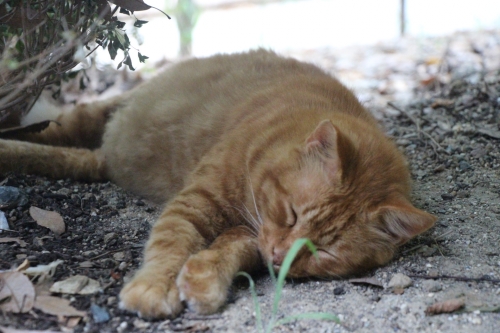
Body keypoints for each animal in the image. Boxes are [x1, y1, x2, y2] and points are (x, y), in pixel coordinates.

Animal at [0, 49, 436, 316]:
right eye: (292, 215)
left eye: (323, 251)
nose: (280, 257)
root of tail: (108, 155)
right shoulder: (195, 201)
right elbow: (172, 243)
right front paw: (155, 288)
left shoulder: (251, 232)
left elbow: (232, 247)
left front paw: (203, 278)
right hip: (85, 118)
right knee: (48, 133)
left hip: (94, 155)